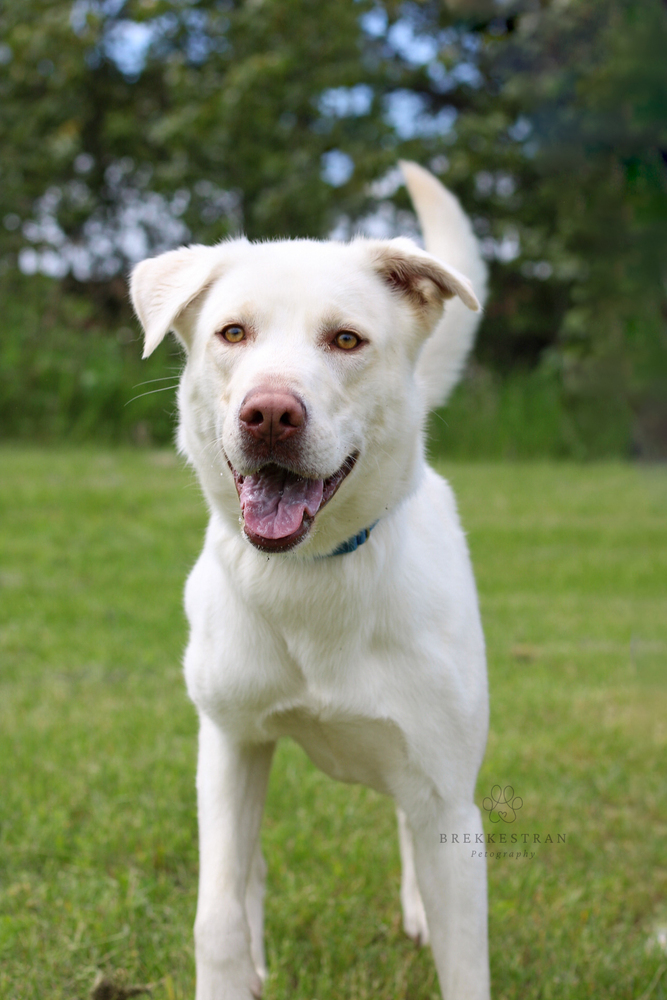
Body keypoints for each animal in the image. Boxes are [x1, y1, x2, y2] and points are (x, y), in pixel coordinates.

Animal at [132, 164, 490, 1000]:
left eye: (346, 340)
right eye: (233, 334)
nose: (268, 414)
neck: (311, 578)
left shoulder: (449, 799)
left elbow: (463, 958)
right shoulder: (228, 747)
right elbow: (218, 914)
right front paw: (234, 971)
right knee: (248, 872)